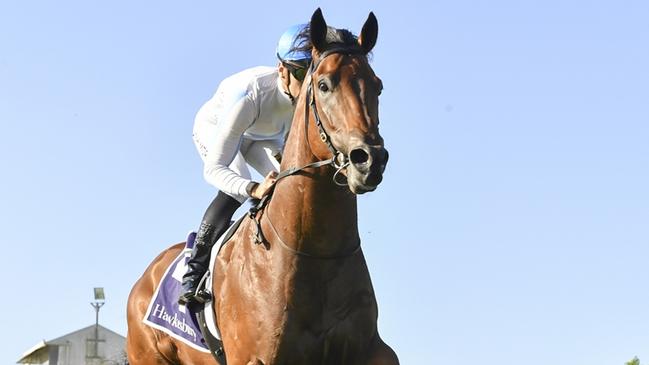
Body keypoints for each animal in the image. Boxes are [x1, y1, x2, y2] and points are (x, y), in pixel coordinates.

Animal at [126, 8, 398, 364]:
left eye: (377, 86)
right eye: (324, 84)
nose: (369, 159)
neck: (316, 252)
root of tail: (144, 279)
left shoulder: (371, 351)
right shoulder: (257, 356)